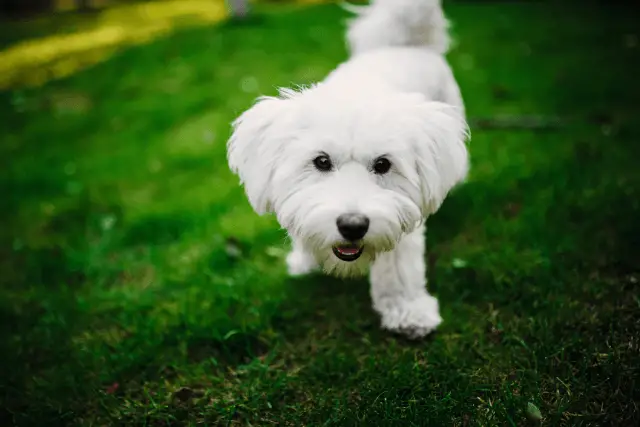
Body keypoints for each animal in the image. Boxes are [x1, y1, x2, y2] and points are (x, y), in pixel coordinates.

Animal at [228, 0, 468, 342]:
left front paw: (408, 311)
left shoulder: (401, 214)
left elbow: (399, 268)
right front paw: (305, 258)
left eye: (383, 164)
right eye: (321, 161)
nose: (353, 226)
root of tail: (403, 44)